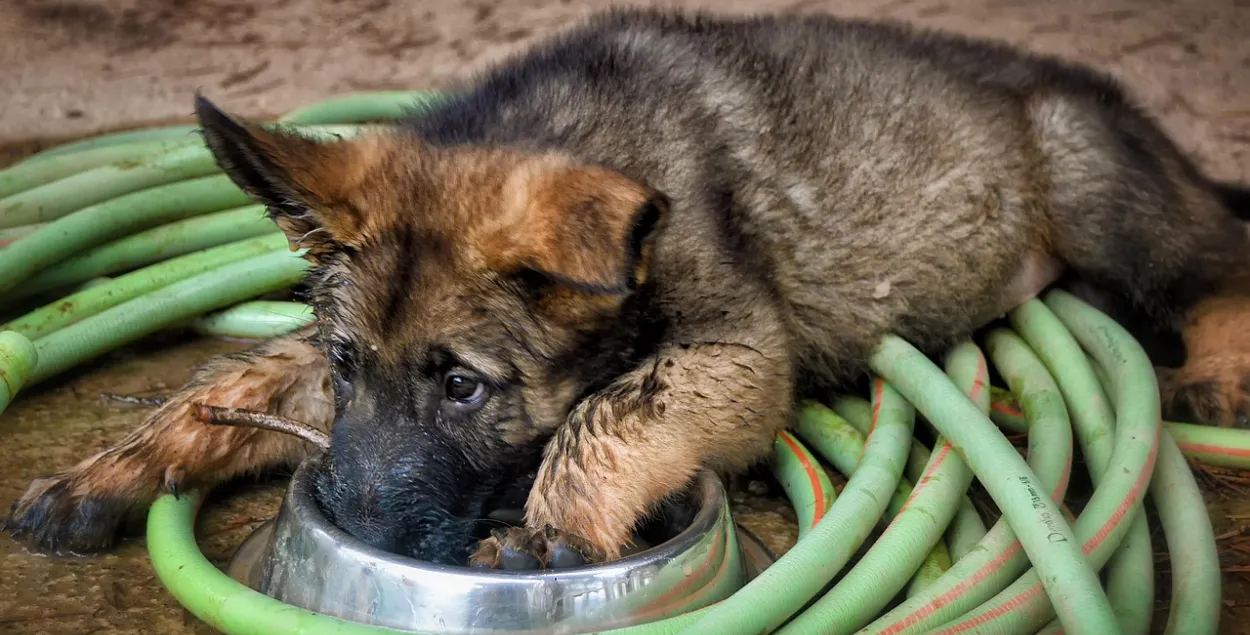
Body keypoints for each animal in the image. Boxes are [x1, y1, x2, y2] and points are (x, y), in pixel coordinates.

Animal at [9, 8, 1250, 565]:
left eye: (463, 387)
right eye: (350, 365)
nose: (357, 526)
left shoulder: (736, 351)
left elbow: (613, 409)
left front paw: (551, 528)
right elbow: (225, 382)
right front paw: (106, 471)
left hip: (1096, 188)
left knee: (1215, 261)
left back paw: (1219, 366)